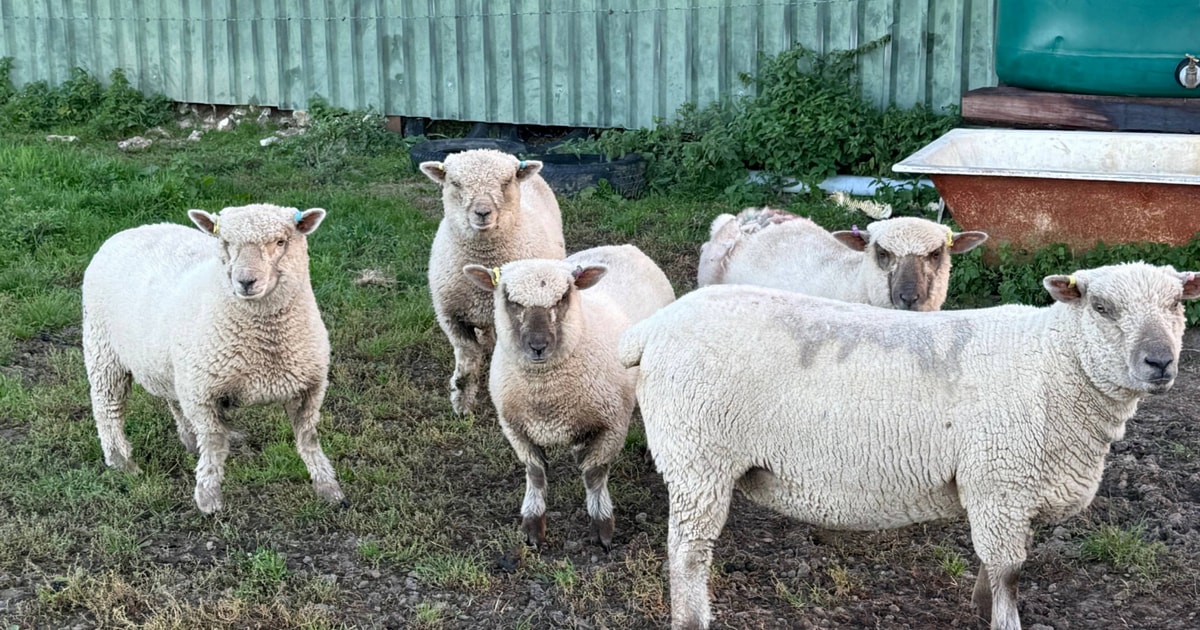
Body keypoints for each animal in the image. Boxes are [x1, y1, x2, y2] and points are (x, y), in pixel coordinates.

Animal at [82, 203, 346, 514]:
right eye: (226, 243)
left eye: (281, 241)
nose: (246, 281)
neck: (266, 343)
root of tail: (134, 229)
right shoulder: (202, 393)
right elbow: (214, 442)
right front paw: (208, 495)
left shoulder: (310, 387)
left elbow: (308, 438)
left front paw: (328, 486)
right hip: (103, 349)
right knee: (107, 406)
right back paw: (121, 461)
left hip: (173, 365)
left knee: (174, 401)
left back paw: (188, 440)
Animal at [421, 149, 566, 415]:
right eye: (455, 183)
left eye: (506, 182)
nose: (482, 212)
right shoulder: (451, 317)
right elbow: (468, 359)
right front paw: (462, 406)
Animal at [464, 244, 675, 550]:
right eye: (510, 299)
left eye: (563, 296)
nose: (538, 346)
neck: (546, 394)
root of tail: (623, 246)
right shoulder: (514, 428)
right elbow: (535, 473)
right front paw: (533, 525)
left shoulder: (612, 425)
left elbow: (594, 475)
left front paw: (602, 527)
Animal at [619, 262, 1200, 629]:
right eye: (1101, 306)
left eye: (1176, 303)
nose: (1160, 362)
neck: (1054, 361)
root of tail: (652, 328)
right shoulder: (1001, 483)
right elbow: (1010, 571)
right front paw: (1002, 619)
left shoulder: (1006, 490)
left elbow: (995, 565)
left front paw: (979, 606)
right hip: (698, 458)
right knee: (687, 554)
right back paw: (692, 619)